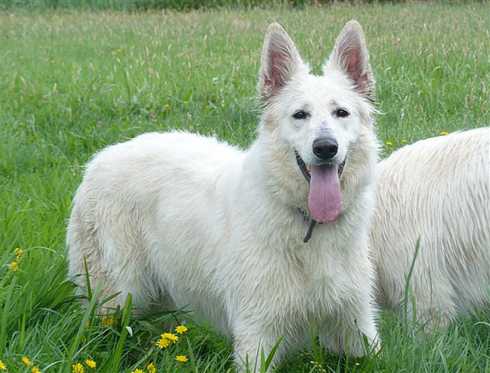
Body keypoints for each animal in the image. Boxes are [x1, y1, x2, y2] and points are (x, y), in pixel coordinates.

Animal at [66, 21, 378, 370]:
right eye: (300, 115)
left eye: (341, 113)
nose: (325, 147)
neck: (308, 223)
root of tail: (99, 159)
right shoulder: (258, 335)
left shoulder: (356, 324)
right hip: (116, 299)